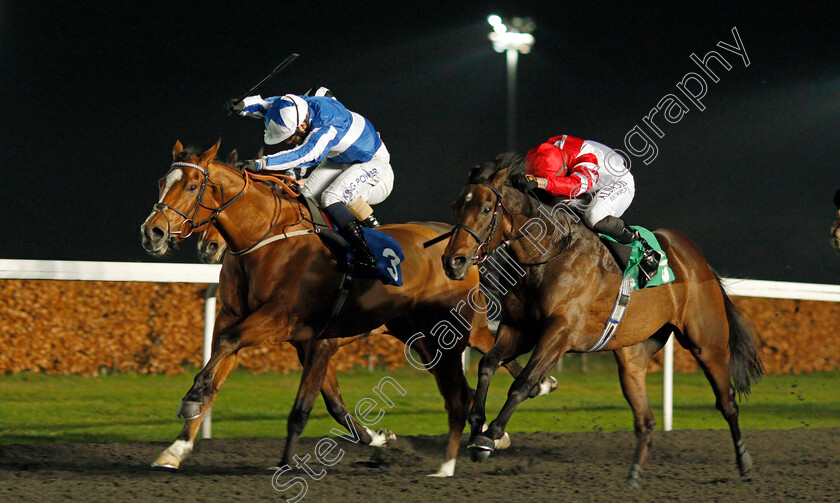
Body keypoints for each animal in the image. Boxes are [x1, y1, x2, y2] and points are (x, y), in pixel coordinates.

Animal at [141, 141, 552, 476]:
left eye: (191, 186)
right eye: (161, 182)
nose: (153, 232)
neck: (266, 240)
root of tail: (462, 246)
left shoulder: (281, 320)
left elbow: (230, 346)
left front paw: (191, 400)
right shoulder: (283, 332)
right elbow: (232, 371)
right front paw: (176, 447)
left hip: (459, 327)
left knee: (488, 348)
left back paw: (534, 392)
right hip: (417, 335)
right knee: (462, 384)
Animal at [442, 155, 764, 488]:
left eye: (486, 208)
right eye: (456, 205)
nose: (453, 262)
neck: (548, 255)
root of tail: (699, 261)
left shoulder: (559, 333)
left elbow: (523, 383)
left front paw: (490, 436)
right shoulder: (519, 329)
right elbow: (488, 364)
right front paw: (477, 424)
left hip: (707, 344)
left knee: (727, 403)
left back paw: (744, 462)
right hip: (632, 356)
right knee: (645, 420)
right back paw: (633, 477)